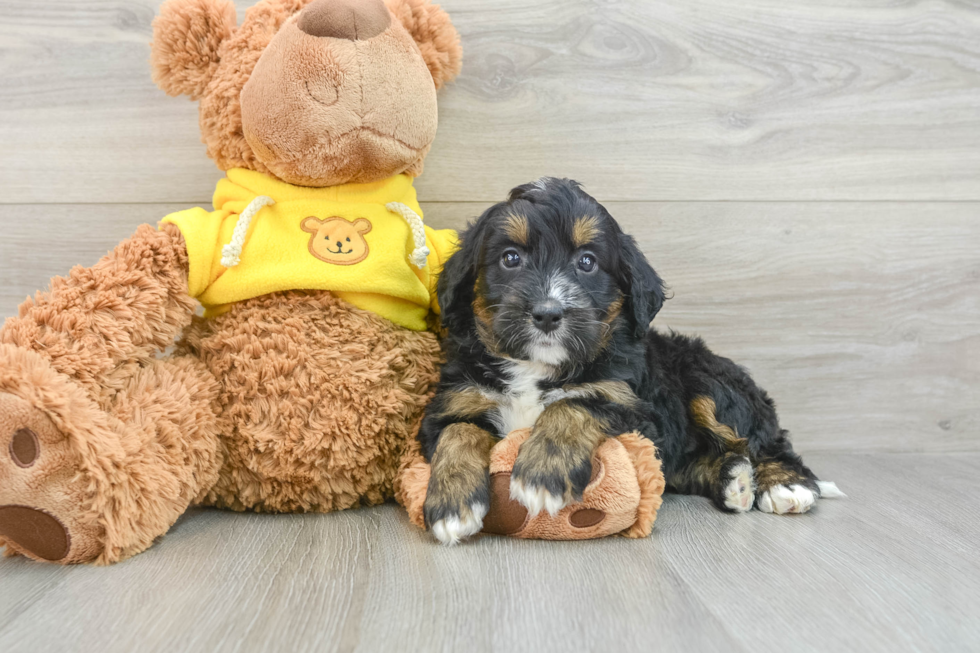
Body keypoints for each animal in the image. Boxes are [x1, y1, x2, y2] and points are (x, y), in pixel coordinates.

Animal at [420, 177, 844, 544]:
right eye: (511, 258)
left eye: (587, 262)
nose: (547, 313)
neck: (537, 368)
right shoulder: (453, 402)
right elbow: (458, 432)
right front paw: (452, 504)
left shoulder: (637, 410)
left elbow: (576, 404)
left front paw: (542, 472)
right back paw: (734, 480)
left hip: (710, 385)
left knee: (769, 441)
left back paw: (784, 484)